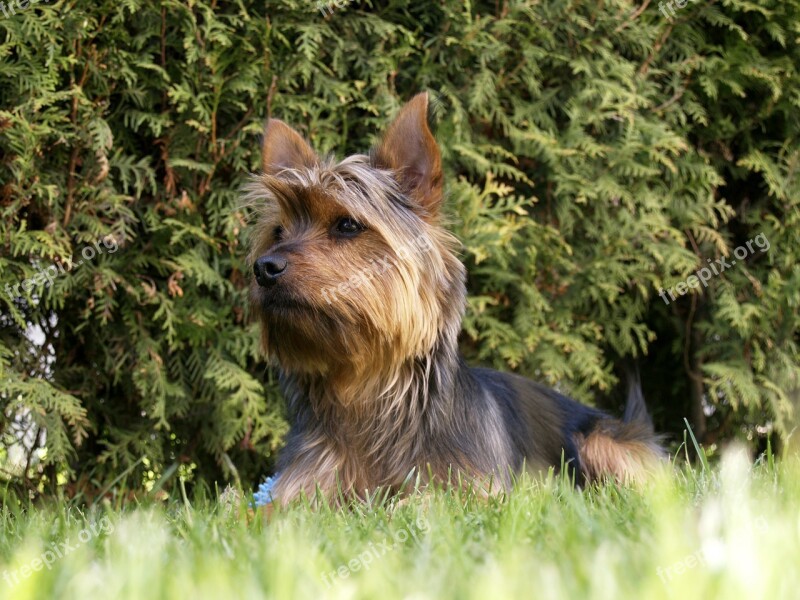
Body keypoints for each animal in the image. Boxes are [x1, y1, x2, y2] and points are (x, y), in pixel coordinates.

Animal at [245, 92, 664, 506]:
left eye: (347, 224)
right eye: (278, 232)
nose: (264, 268)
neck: (363, 389)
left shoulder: (472, 489)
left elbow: (423, 502)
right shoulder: (304, 483)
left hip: (600, 443)